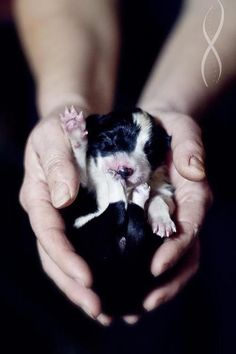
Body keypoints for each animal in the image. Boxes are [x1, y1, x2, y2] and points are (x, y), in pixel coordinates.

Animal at [60, 107, 175, 316]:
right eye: (110, 141)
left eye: (149, 151)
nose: (124, 170)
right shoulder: (85, 187)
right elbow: (80, 164)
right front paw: (75, 130)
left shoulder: (163, 187)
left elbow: (159, 199)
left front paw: (162, 221)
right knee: (119, 209)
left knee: (119, 209)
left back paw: (132, 191)